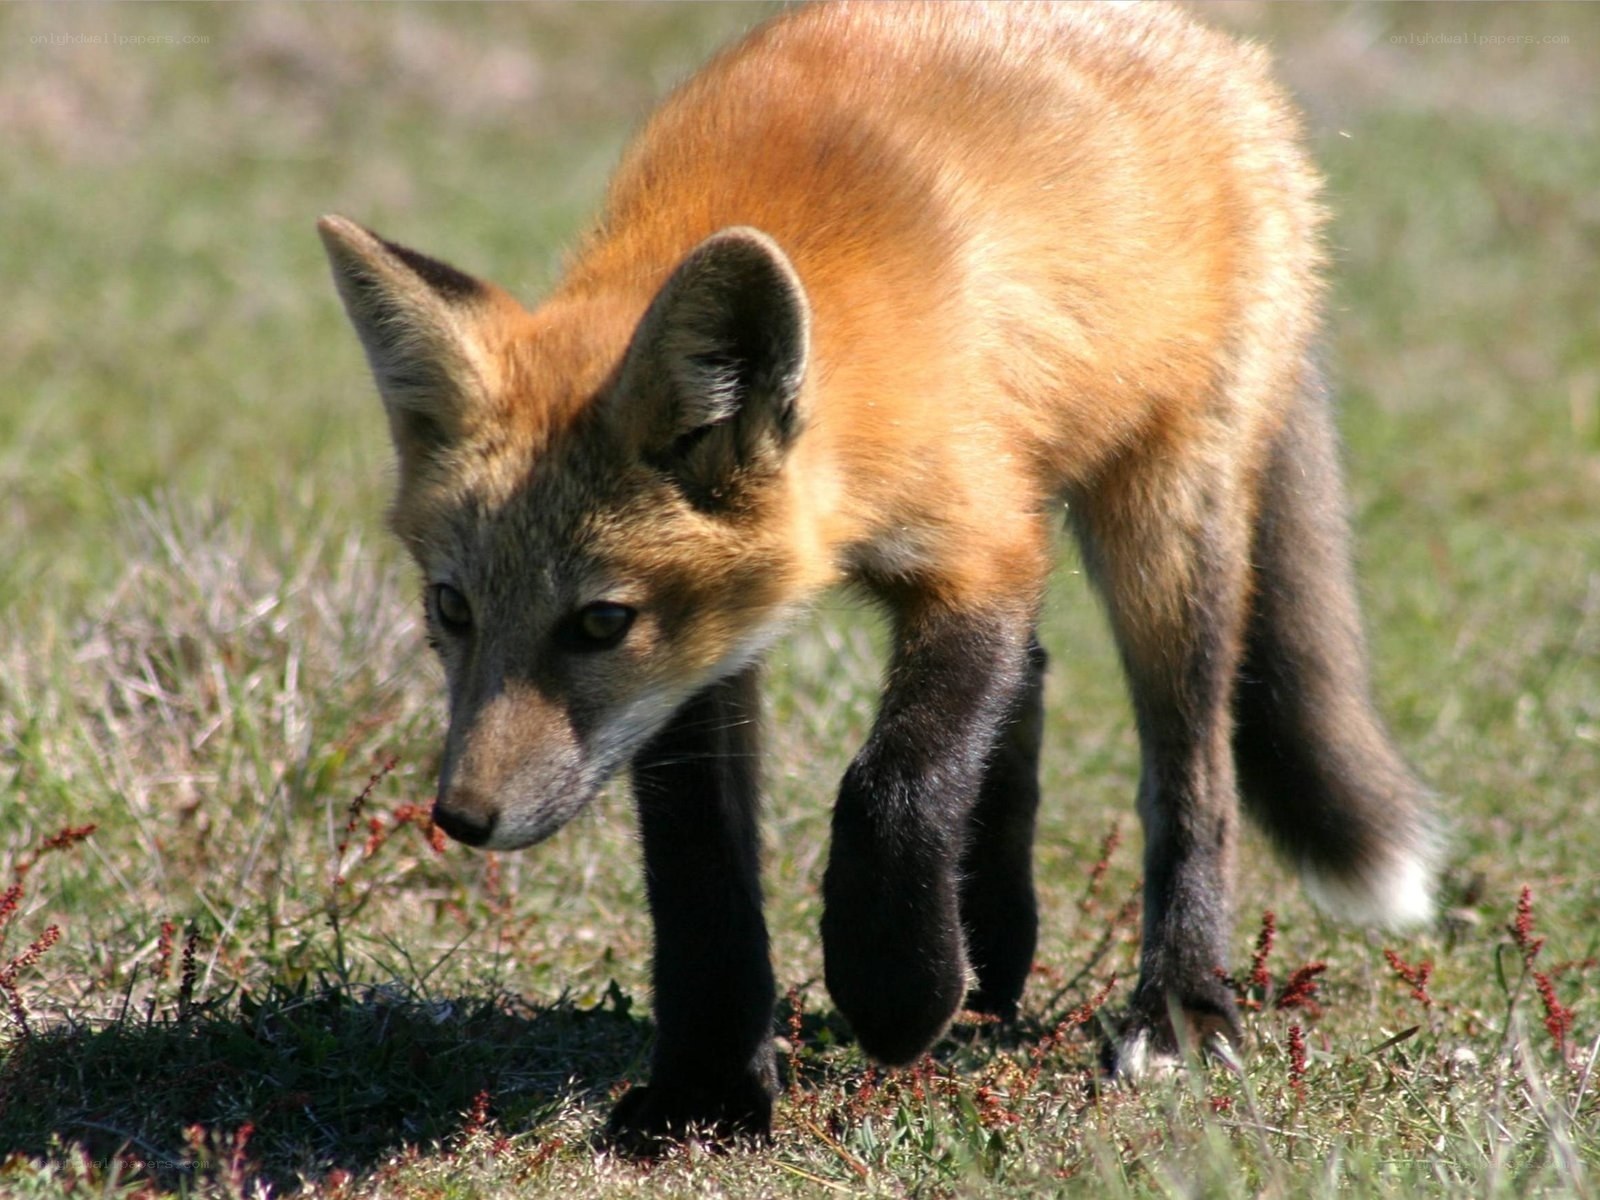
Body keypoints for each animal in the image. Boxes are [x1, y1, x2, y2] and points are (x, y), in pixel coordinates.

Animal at [319, 0, 1436, 1146]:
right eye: (450, 608)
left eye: (596, 622)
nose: (462, 817)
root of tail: (1218, 52)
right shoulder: (709, 649)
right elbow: (699, 870)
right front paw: (706, 1091)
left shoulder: (982, 550)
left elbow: (895, 782)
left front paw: (896, 987)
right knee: (1034, 678)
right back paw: (997, 937)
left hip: (1164, 522)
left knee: (1193, 770)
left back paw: (1178, 1000)